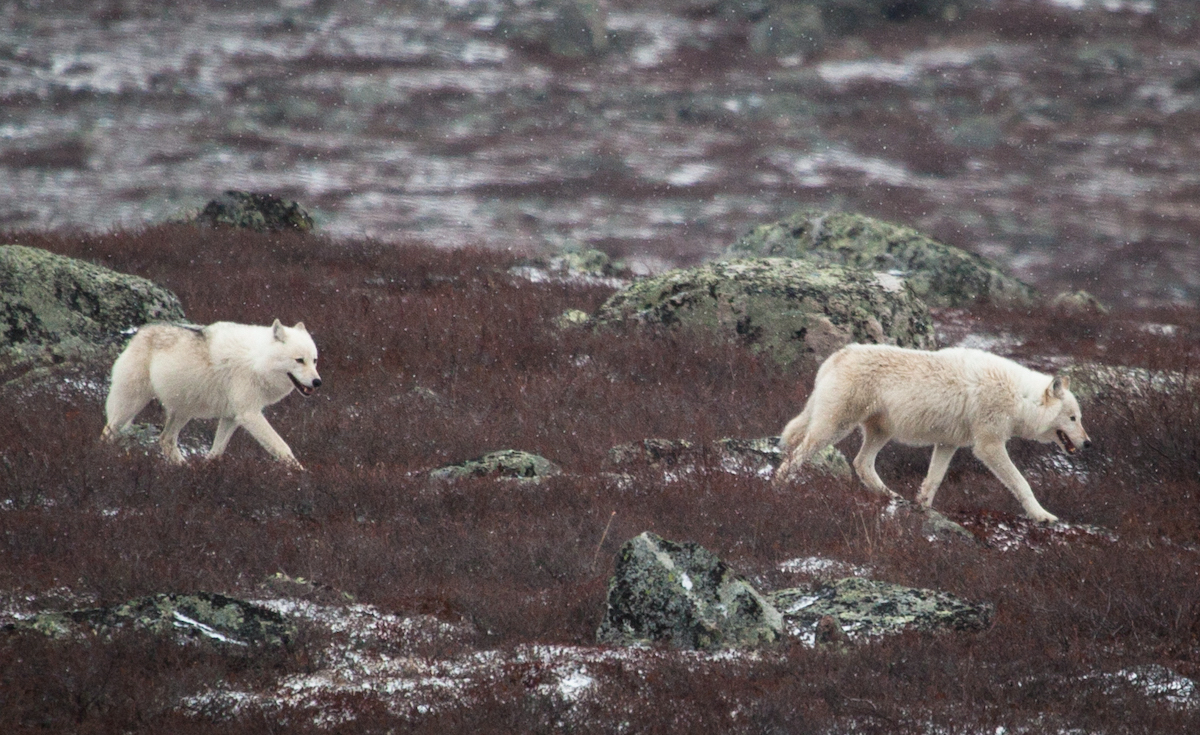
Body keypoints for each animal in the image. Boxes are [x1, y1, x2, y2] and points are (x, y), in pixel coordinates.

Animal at [101, 319, 321, 468]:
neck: (256, 361)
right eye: (299, 360)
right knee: (108, 432)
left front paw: (207, 470)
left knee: (166, 439)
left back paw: (184, 467)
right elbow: (283, 447)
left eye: (314, 360)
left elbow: (217, 451)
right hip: (131, 404)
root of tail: (139, 333)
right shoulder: (250, 415)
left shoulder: (231, 417)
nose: (318, 382)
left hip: (183, 412)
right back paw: (104, 459)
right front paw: (301, 476)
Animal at [772, 343, 1094, 523]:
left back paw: (892, 497)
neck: (1019, 398)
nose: (1089, 444)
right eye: (1073, 418)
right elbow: (1022, 483)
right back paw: (779, 487)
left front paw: (923, 510)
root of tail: (837, 356)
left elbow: (933, 482)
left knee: (861, 464)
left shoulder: (947, 444)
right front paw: (1043, 516)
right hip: (835, 428)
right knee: (795, 456)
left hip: (880, 433)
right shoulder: (988, 446)